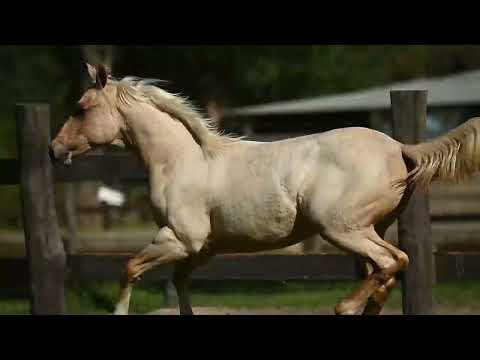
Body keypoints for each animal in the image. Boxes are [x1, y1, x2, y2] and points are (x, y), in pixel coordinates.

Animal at [49, 64, 480, 316]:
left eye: (81, 108)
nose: (54, 150)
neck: (181, 160)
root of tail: (399, 148)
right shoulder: (202, 249)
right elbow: (180, 283)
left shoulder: (180, 238)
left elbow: (129, 270)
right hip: (369, 228)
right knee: (386, 271)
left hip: (343, 228)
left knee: (394, 261)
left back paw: (344, 306)